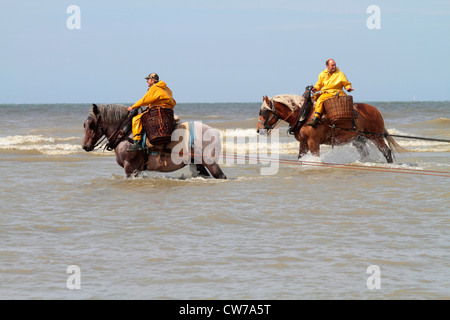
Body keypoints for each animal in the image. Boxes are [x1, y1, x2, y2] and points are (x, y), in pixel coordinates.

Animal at [82, 102, 227, 179]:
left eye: (92, 125)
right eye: (84, 125)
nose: (85, 146)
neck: (125, 132)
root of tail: (214, 132)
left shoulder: (130, 168)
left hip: (210, 162)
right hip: (198, 162)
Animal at [256, 92, 404, 162]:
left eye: (265, 112)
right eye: (260, 112)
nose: (258, 130)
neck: (304, 115)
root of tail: (376, 110)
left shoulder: (313, 142)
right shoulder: (303, 143)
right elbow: (300, 158)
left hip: (375, 136)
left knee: (386, 151)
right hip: (358, 139)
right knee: (365, 153)